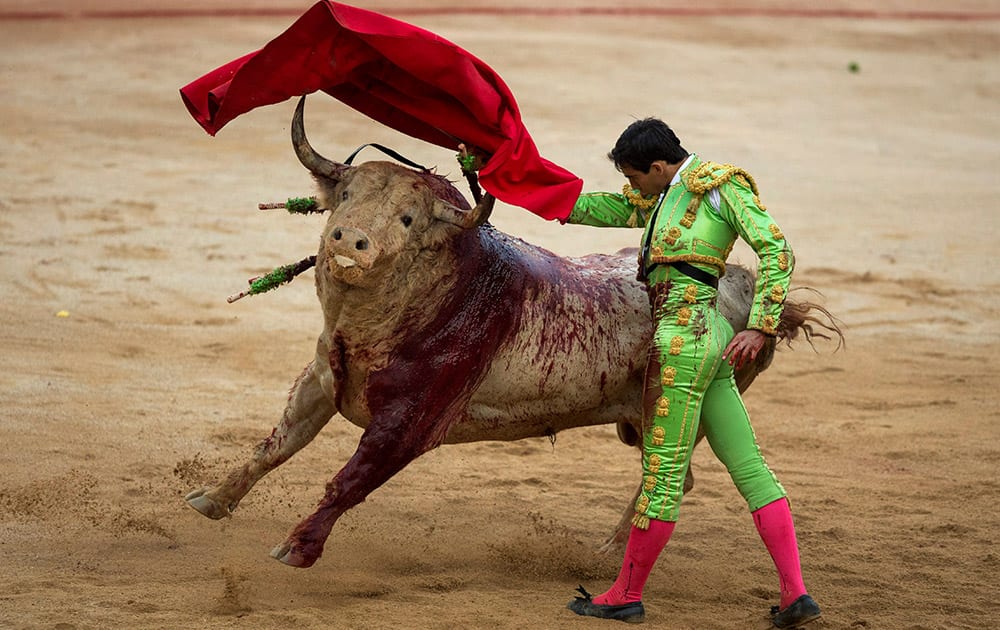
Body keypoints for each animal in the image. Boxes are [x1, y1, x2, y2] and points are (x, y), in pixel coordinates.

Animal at [184, 96, 832, 572]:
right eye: (344, 195)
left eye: (408, 219)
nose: (349, 239)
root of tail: (745, 283)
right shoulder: (320, 378)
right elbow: (276, 444)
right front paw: (210, 500)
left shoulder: (410, 422)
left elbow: (350, 479)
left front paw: (296, 548)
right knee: (678, 476)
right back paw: (611, 553)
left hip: (669, 407)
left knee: (669, 475)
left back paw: (608, 557)